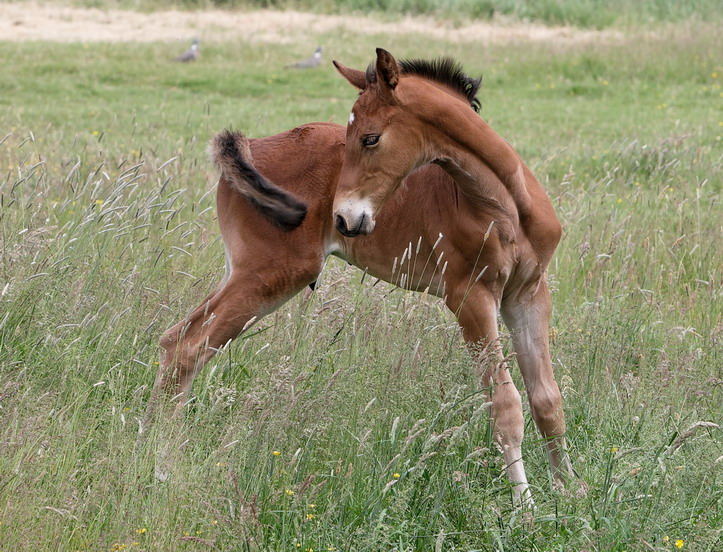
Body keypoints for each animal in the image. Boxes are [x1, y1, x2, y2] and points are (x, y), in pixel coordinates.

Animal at [153, 51, 576, 504]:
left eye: (371, 138)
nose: (344, 218)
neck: (504, 206)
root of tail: (251, 144)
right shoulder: (471, 297)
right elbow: (505, 405)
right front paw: (524, 507)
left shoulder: (529, 293)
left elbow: (547, 400)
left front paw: (570, 493)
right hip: (272, 272)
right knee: (187, 346)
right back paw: (163, 463)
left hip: (248, 271)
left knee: (176, 339)